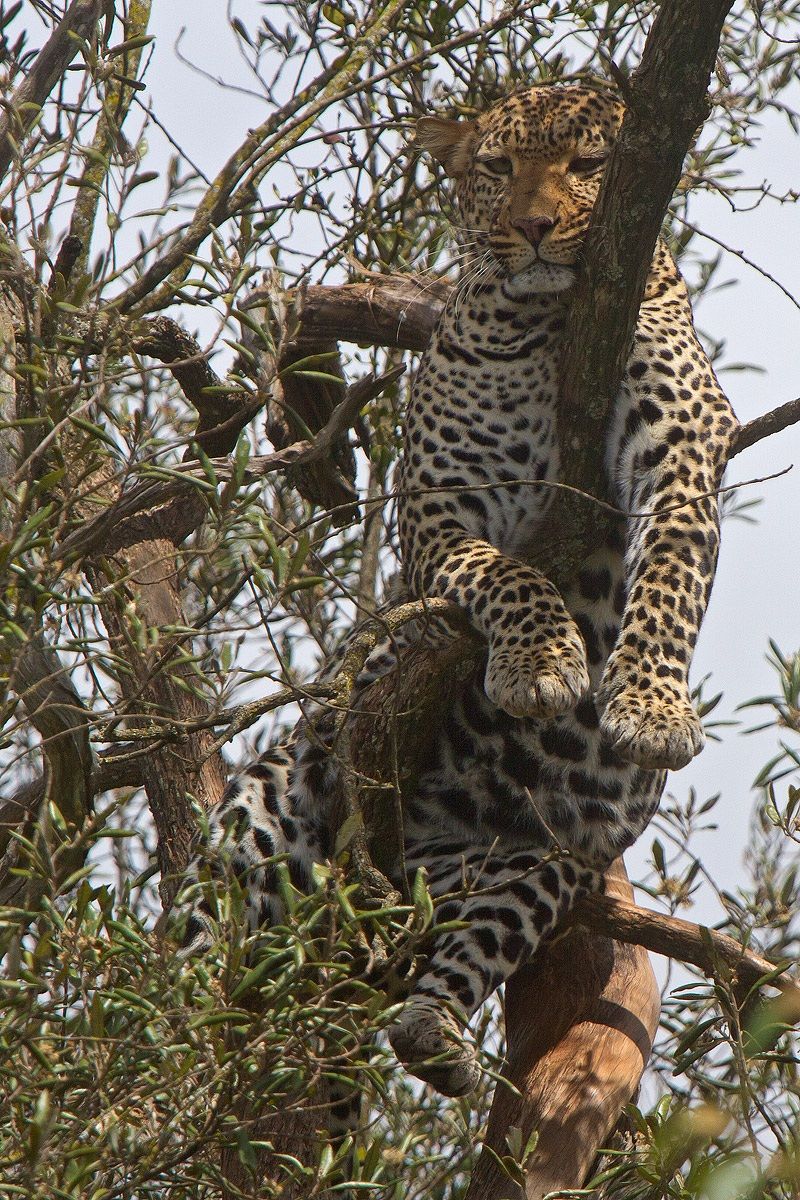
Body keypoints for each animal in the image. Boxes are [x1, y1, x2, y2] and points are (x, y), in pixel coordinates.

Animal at [176, 83, 737, 1104]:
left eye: (589, 166)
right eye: (497, 168)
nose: (535, 227)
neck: (559, 327)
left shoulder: (683, 446)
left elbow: (673, 566)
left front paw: (648, 707)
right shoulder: (441, 502)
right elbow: (510, 575)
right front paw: (542, 666)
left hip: (539, 858)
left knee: (457, 960)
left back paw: (435, 1035)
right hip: (262, 813)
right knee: (194, 945)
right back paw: (169, 1047)